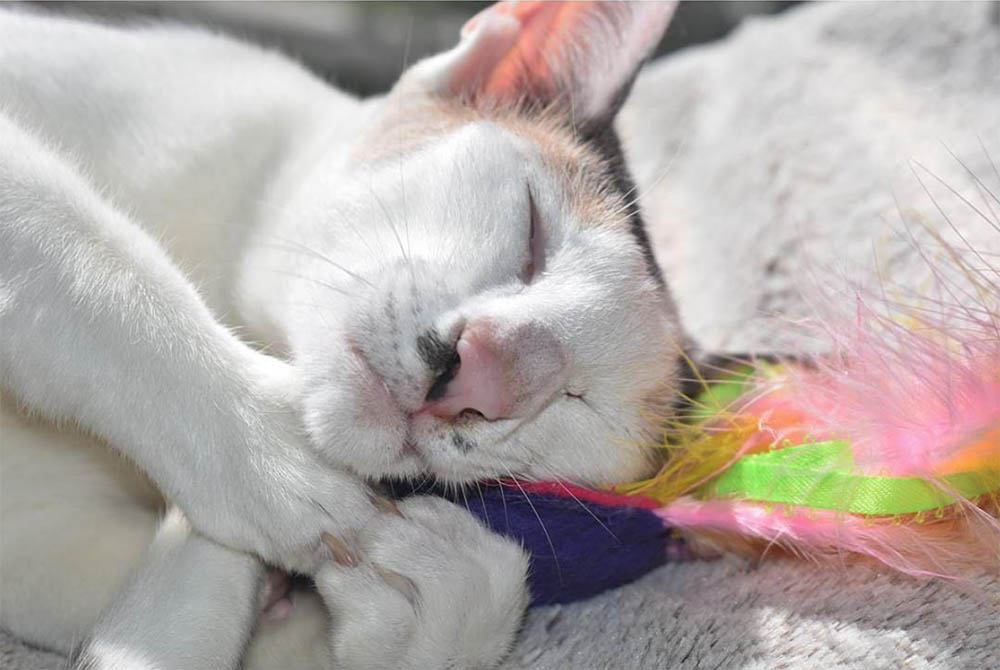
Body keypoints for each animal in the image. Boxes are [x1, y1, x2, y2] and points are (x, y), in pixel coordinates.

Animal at [0, 2, 680, 668]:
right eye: (534, 234)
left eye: (578, 400)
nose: (482, 375)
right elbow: (76, 250)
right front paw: (271, 455)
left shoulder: (47, 551)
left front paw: (442, 600)